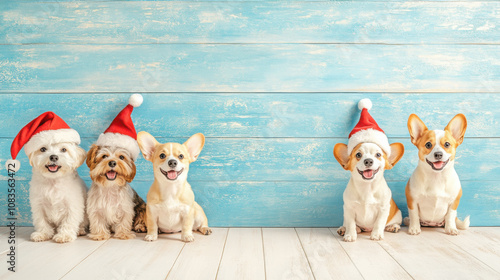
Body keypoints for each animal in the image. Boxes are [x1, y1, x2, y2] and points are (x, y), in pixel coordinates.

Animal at [7, 111, 88, 243]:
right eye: (43, 149)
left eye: (64, 149)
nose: (53, 157)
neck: (53, 181)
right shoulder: (38, 205)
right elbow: (42, 221)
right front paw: (42, 234)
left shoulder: (72, 205)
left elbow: (69, 221)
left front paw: (64, 235)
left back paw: (80, 230)